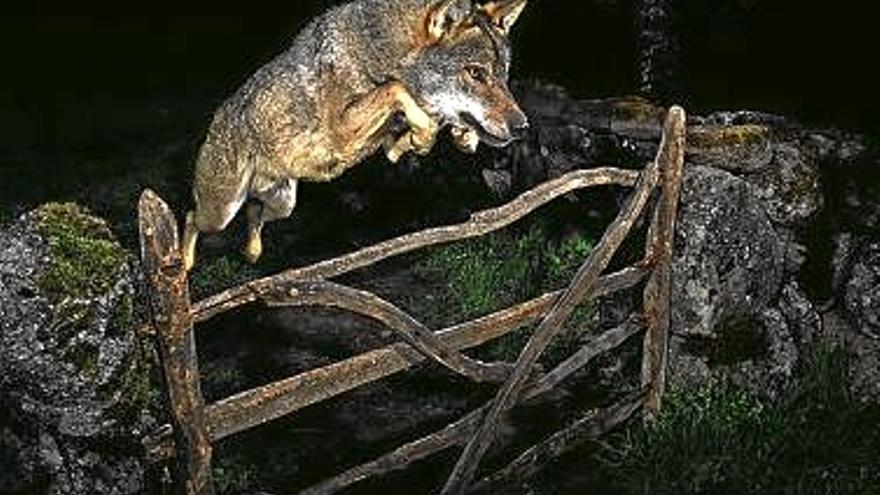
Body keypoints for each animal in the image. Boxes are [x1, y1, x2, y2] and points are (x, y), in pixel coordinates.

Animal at [184, 0, 528, 272]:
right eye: (475, 73)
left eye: (503, 75)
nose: (522, 127)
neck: (382, 53)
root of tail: (219, 115)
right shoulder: (343, 131)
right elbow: (396, 89)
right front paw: (425, 134)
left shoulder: (388, 143)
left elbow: (425, 125)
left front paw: (457, 135)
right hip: (221, 213)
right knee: (191, 217)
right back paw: (184, 264)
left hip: (283, 205)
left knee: (254, 215)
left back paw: (252, 253)